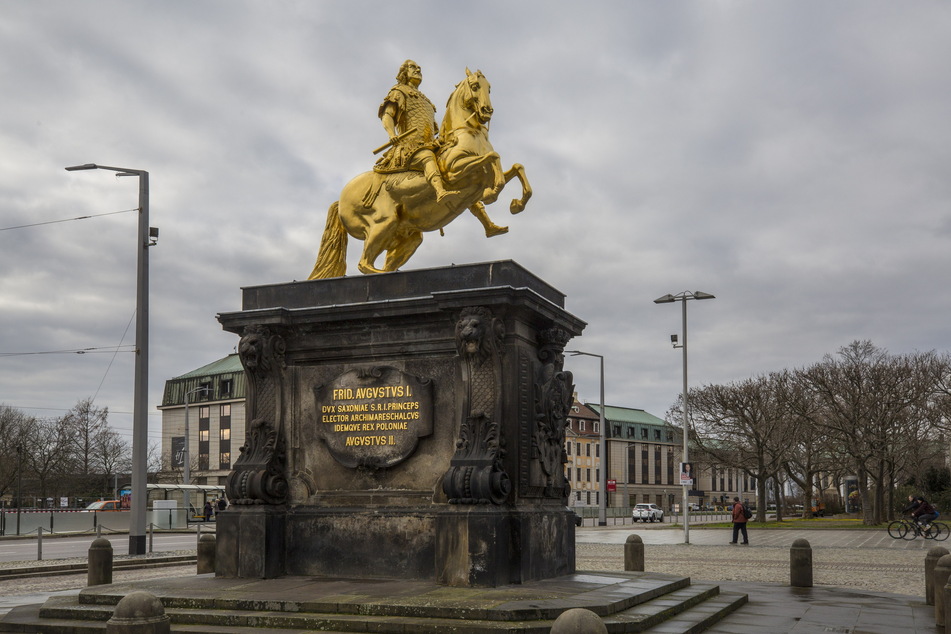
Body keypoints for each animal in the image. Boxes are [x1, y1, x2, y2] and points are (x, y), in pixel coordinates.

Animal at [312, 68, 536, 278]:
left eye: (489, 88)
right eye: (474, 86)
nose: (487, 110)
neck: (468, 134)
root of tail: (340, 199)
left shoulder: (483, 177)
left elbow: (517, 167)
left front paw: (517, 204)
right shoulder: (454, 172)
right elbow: (493, 157)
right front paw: (493, 194)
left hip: (407, 237)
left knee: (381, 263)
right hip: (382, 224)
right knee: (364, 264)